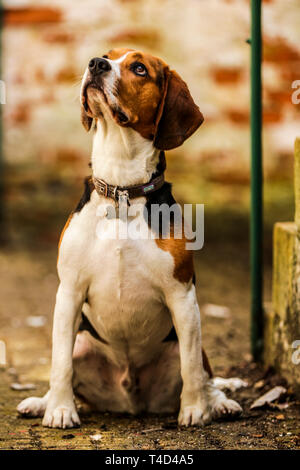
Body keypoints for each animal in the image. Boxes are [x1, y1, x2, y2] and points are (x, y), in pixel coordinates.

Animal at [17, 48, 246, 430]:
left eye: (139, 68)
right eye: (106, 56)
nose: (95, 64)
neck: (122, 189)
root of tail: (130, 402)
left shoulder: (182, 295)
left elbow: (191, 369)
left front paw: (195, 410)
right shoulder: (69, 291)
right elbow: (59, 364)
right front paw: (60, 410)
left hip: (189, 341)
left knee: (203, 372)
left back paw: (219, 403)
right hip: (82, 343)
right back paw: (42, 402)